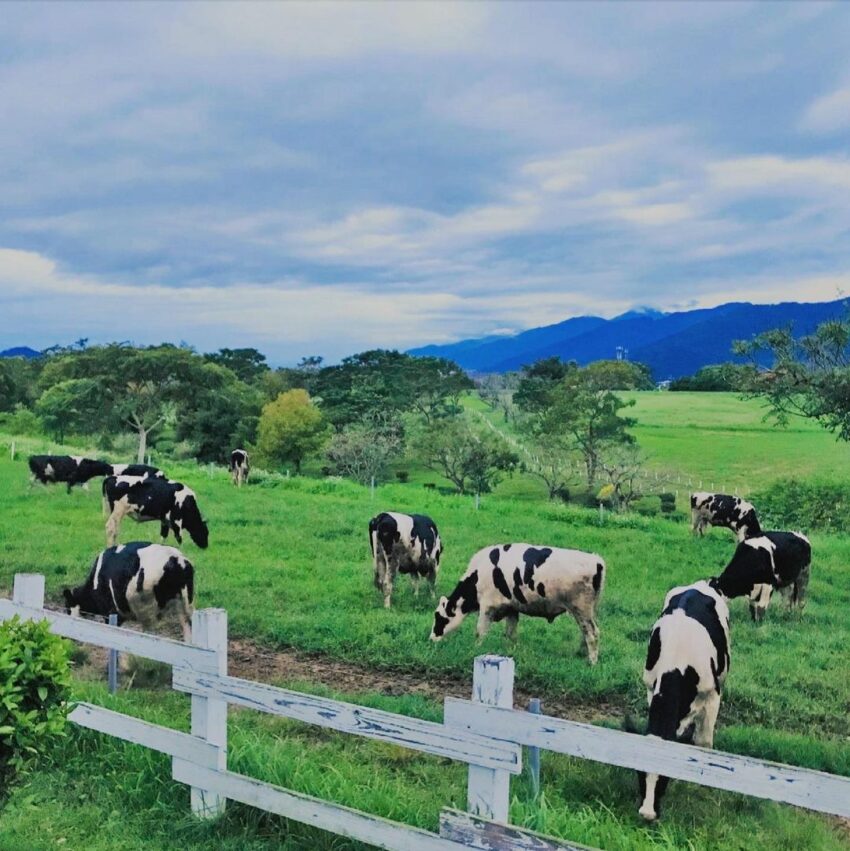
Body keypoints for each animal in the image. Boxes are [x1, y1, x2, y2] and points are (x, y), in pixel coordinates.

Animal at [63, 544, 195, 644]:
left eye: (67, 609)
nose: (64, 638)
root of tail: (177, 559)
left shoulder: (111, 613)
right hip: (185, 604)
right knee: (188, 630)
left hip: (151, 608)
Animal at [430, 544, 604, 664]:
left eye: (439, 617)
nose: (431, 639)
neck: (479, 575)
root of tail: (596, 560)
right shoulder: (512, 608)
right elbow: (511, 633)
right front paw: (511, 651)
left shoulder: (487, 607)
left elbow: (480, 631)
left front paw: (475, 649)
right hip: (588, 611)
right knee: (585, 633)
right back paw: (581, 655)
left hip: (581, 609)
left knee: (592, 633)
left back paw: (592, 662)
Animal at [636, 584, 728, 824]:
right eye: (639, 773)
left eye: (666, 777)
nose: (647, 813)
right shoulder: (651, 687)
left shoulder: (713, 696)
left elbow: (704, 743)